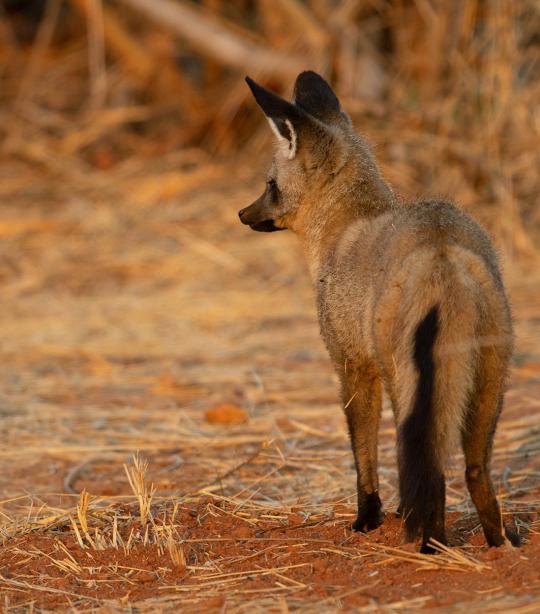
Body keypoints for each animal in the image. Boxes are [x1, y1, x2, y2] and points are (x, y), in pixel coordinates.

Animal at [239, 71, 520, 552]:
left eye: (270, 184)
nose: (243, 214)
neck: (345, 229)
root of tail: (441, 251)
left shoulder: (352, 365)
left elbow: (362, 452)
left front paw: (366, 519)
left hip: (408, 381)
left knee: (429, 465)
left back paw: (430, 544)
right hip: (489, 382)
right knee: (474, 470)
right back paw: (498, 546)